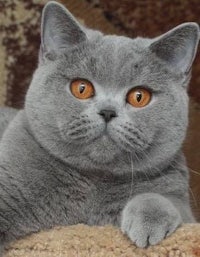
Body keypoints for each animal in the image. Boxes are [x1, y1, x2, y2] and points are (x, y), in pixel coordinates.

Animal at [0, 0, 198, 252]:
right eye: (81, 88)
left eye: (139, 97)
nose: (108, 111)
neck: (93, 184)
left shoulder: (184, 205)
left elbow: (162, 199)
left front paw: (149, 223)